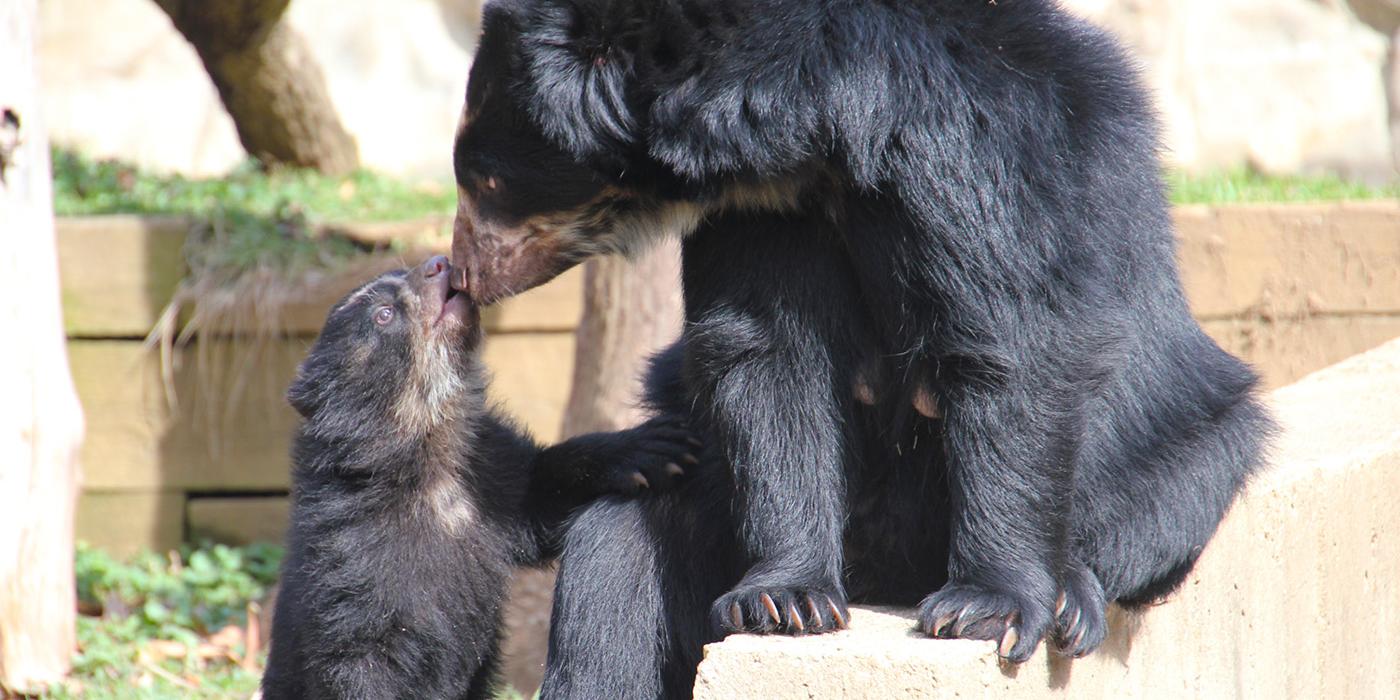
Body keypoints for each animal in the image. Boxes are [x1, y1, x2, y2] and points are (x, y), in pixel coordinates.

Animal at [260, 257, 697, 700]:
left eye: (402, 272)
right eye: (383, 315)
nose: (438, 263)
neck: (429, 453)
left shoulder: (490, 466)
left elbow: (537, 494)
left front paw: (652, 448)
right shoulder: (354, 562)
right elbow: (364, 663)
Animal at [448, 0, 1271, 691]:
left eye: (483, 179)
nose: (462, 273)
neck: (820, 144)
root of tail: (887, 574)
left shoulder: (983, 156)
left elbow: (1014, 344)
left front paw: (984, 607)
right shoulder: (764, 214)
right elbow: (770, 356)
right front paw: (784, 602)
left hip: (1185, 436)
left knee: (1162, 495)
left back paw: (1071, 594)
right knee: (615, 560)